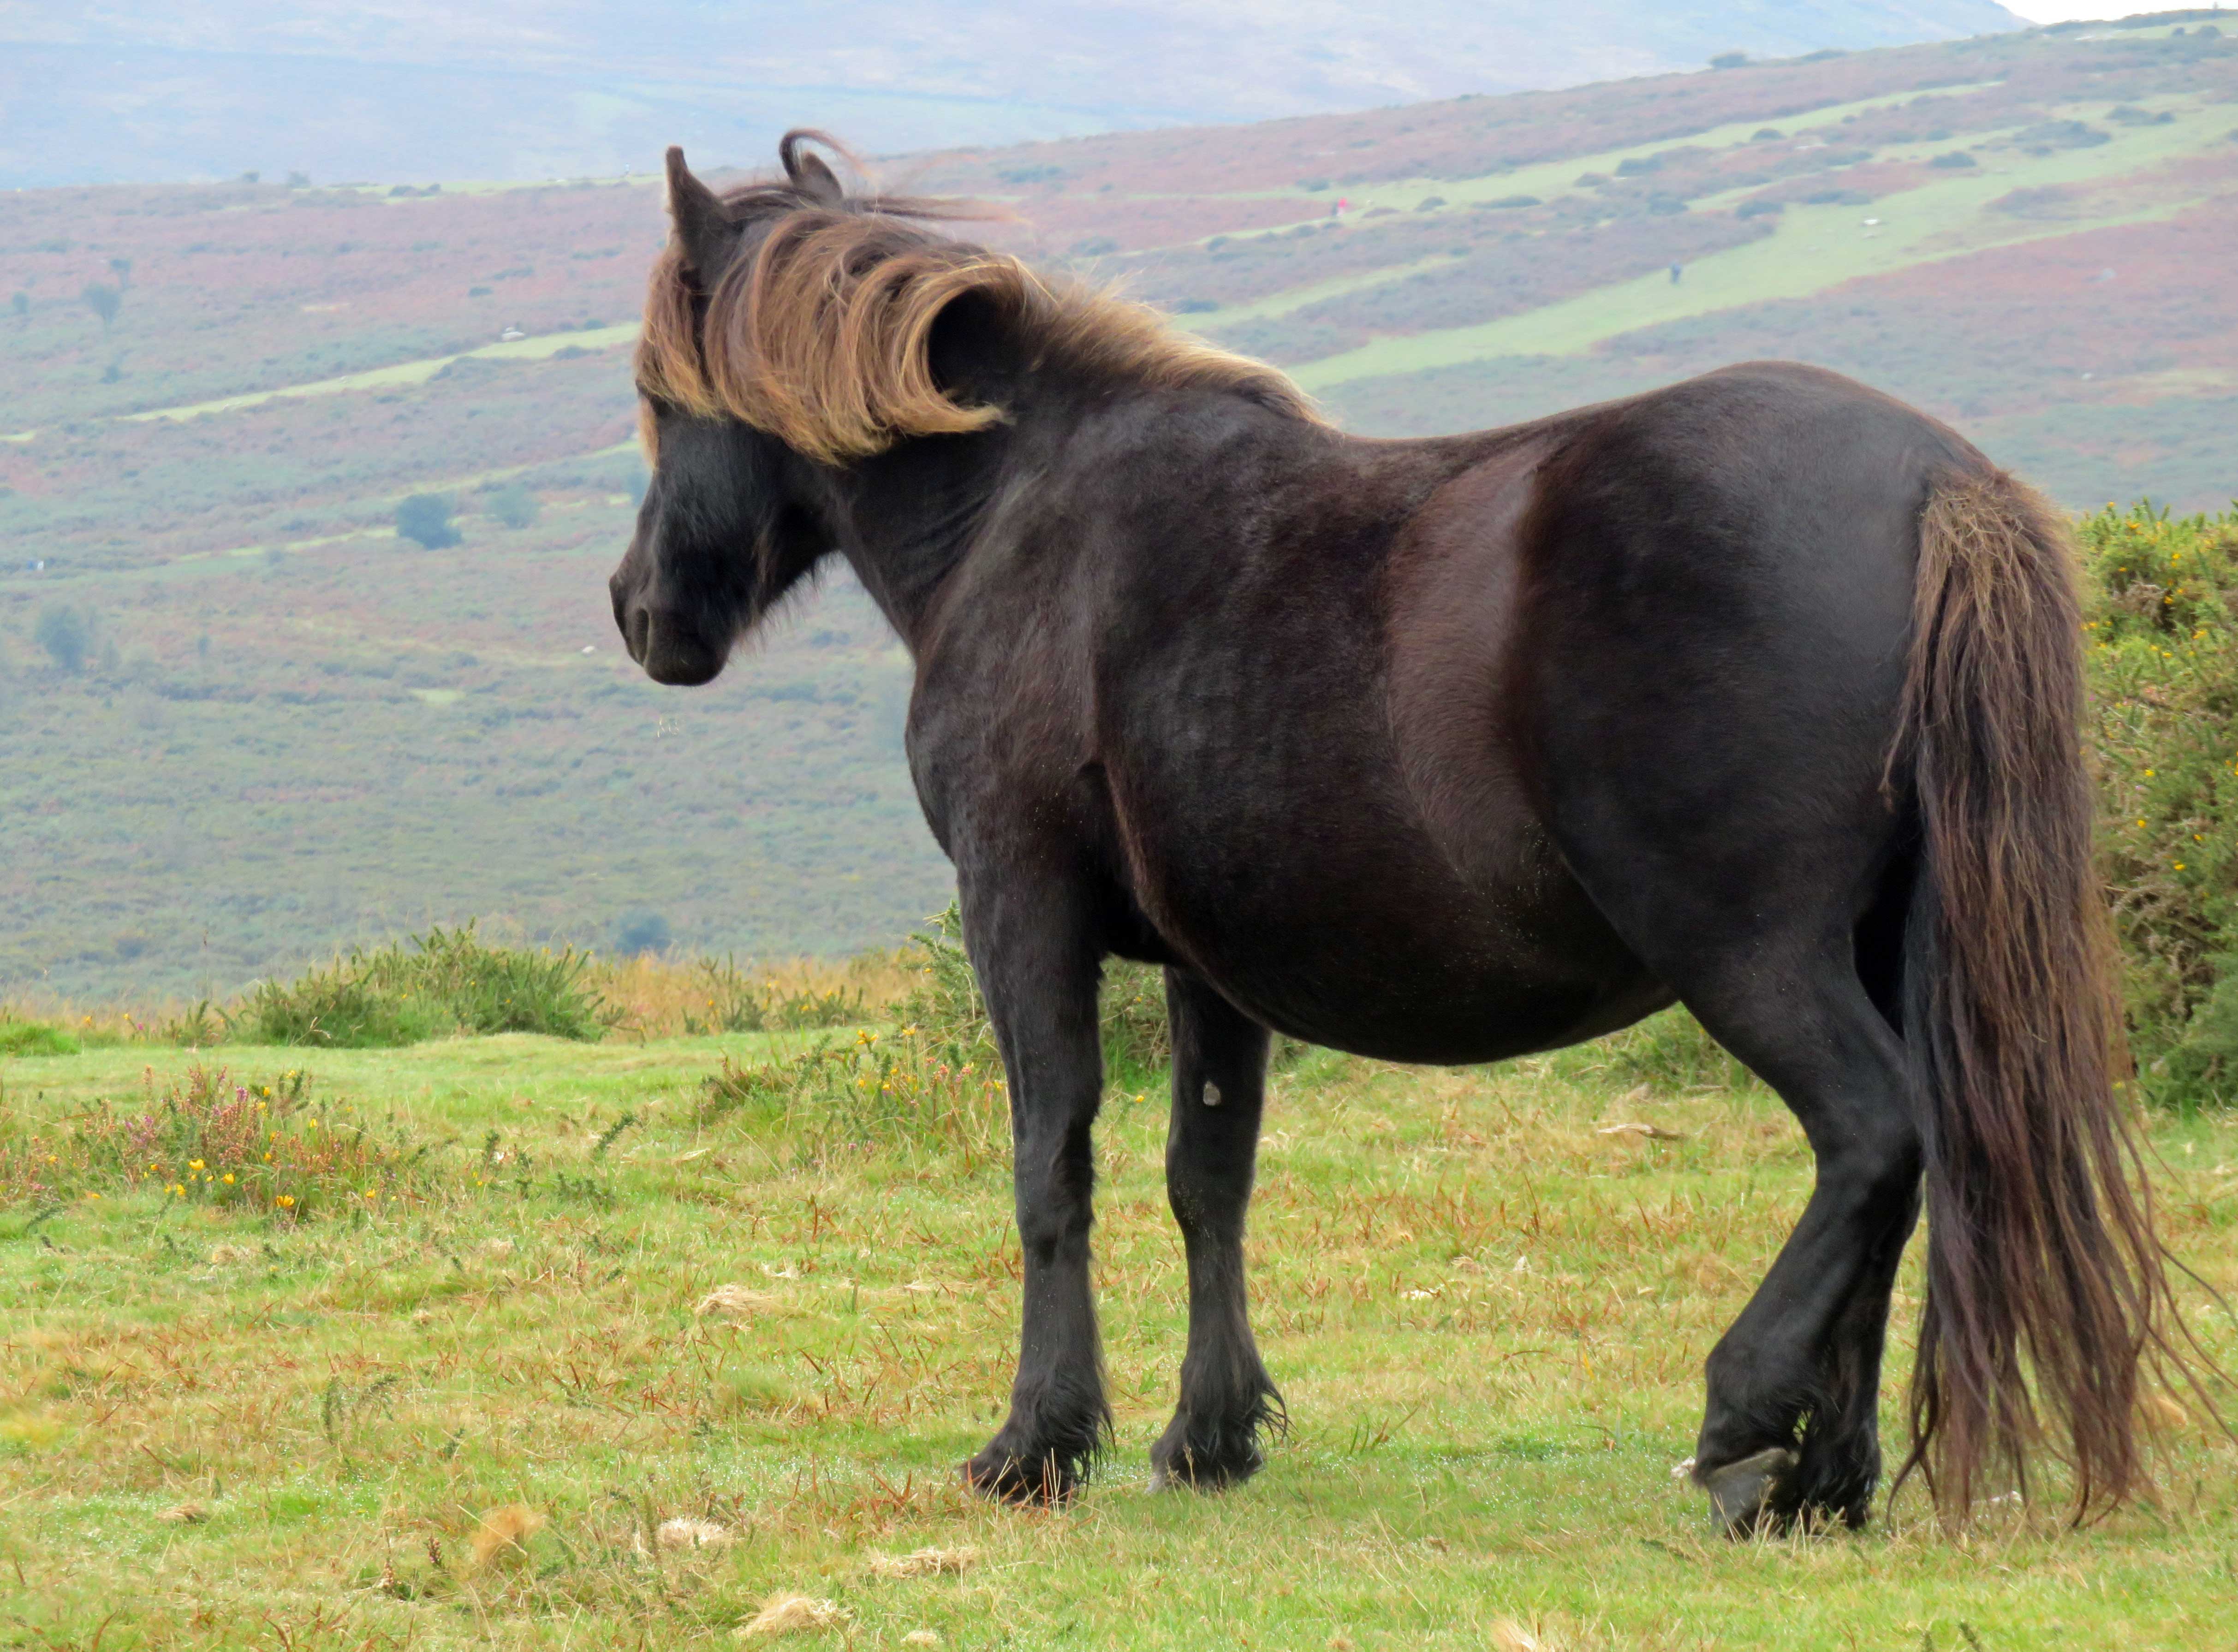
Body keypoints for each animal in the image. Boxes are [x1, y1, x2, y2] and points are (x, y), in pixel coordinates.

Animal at [609, 132, 2188, 1532]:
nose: (640, 612)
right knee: (1899, 1180)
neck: (1028, 518)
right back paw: (1820, 1479)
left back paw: (1744, 1423)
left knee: (1871, 1137)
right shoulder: (1209, 968)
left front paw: (1035, 1445)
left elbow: (1051, 1164)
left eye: (657, 393)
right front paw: (1208, 1435)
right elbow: (1207, 1179)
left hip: (1753, 953)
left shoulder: (1023, 907)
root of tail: (1935, 482)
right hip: (1874, 942)